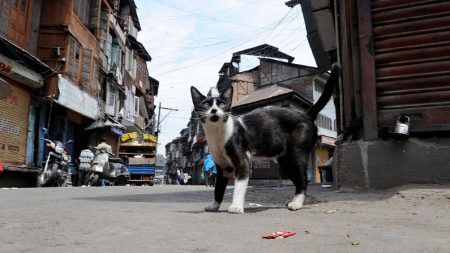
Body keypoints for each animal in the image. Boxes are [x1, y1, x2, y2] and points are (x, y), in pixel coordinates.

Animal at [190, 63, 342, 213]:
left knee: (303, 179)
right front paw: (215, 205)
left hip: (296, 154)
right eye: (206, 104)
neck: (218, 133)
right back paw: (293, 201)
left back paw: (297, 203)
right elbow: (218, 188)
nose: (214, 110)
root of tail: (306, 115)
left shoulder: (242, 162)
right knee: (298, 179)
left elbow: (238, 187)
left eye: (221, 104)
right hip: (285, 161)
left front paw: (236, 206)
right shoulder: (222, 167)